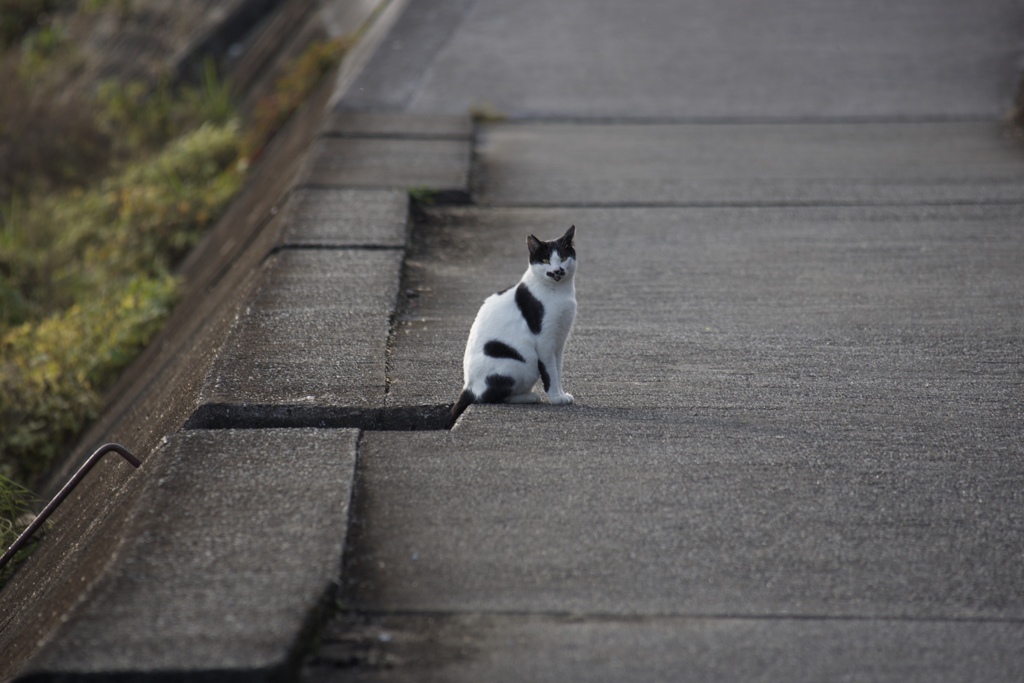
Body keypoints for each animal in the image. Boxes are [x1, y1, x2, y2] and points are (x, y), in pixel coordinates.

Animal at [446, 224, 581, 428]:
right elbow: (550, 371)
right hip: (521, 362)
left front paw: (561, 393)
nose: (557, 271)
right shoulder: (545, 341)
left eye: (564, 257)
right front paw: (556, 398)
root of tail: (467, 387)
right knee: (488, 397)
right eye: (545, 260)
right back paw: (529, 397)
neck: (558, 292)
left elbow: (557, 369)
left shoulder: (559, 341)